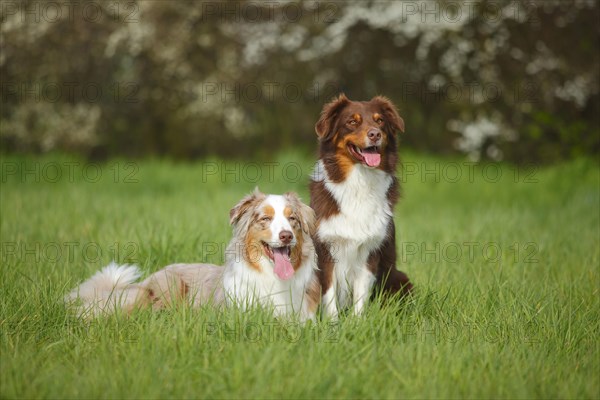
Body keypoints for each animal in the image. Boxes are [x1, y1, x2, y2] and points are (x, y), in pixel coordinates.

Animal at [310, 94, 412, 318]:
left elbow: (360, 295)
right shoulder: (326, 250)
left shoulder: (370, 251)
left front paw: (357, 323)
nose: (375, 134)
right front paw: (333, 324)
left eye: (379, 121)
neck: (360, 181)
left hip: (399, 279)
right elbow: (329, 295)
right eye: (352, 122)